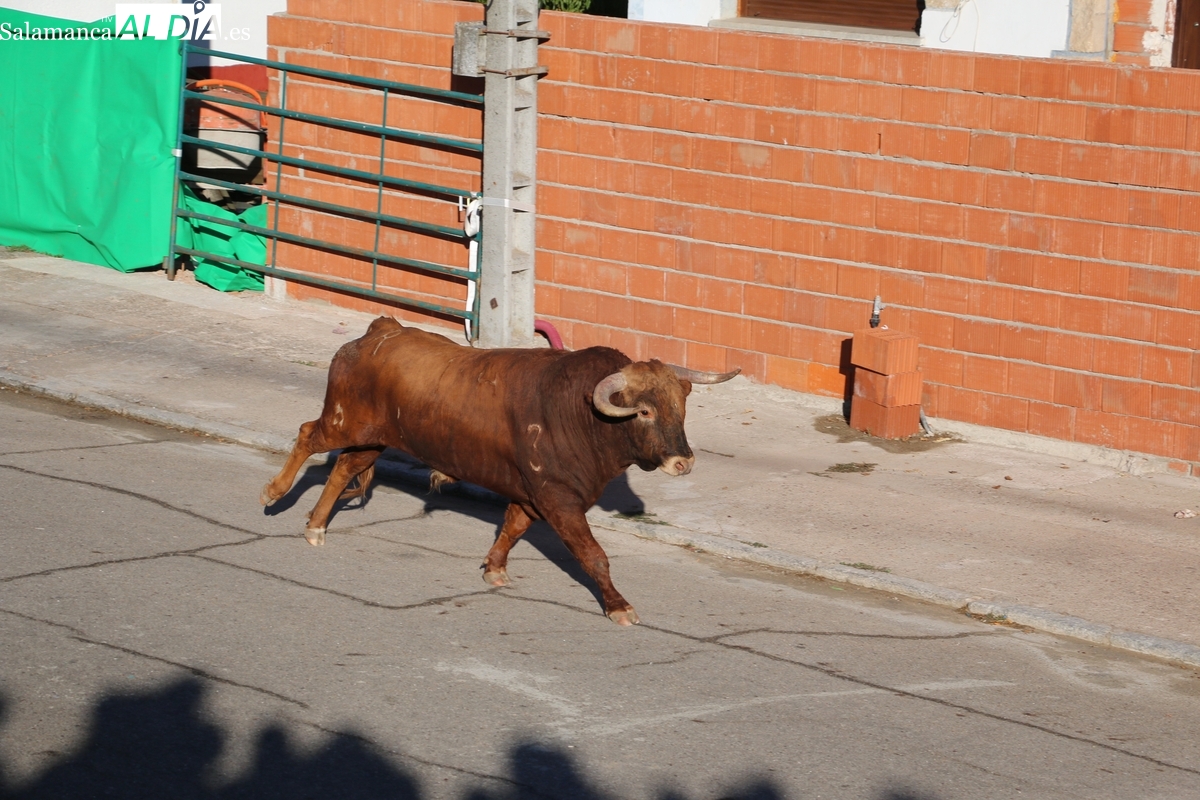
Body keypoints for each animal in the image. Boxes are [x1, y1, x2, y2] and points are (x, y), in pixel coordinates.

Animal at [260, 316, 738, 625]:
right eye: (642, 411)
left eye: (680, 406)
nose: (683, 462)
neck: (581, 414)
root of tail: (381, 331)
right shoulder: (559, 499)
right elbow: (593, 555)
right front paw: (619, 607)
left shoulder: (534, 496)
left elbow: (512, 528)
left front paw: (494, 568)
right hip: (345, 421)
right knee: (307, 435)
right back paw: (274, 493)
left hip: (371, 438)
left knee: (344, 466)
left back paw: (316, 526)